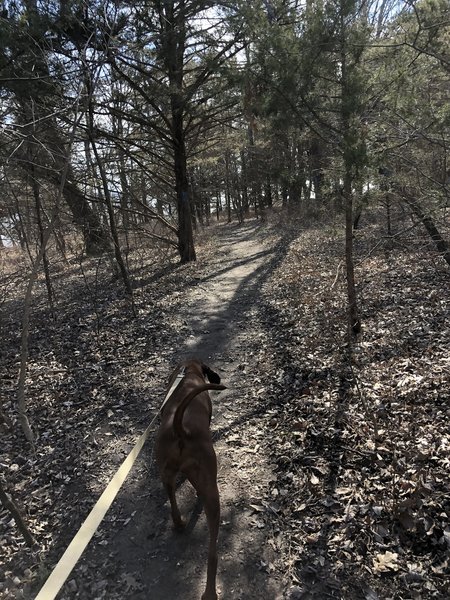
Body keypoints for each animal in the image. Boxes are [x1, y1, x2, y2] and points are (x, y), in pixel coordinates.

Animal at [156, 358, 227, 596]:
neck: (188, 375)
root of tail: (182, 431)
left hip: (166, 473)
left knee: (172, 499)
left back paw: (179, 523)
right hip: (212, 491)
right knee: (212, 553)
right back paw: (210, 593)